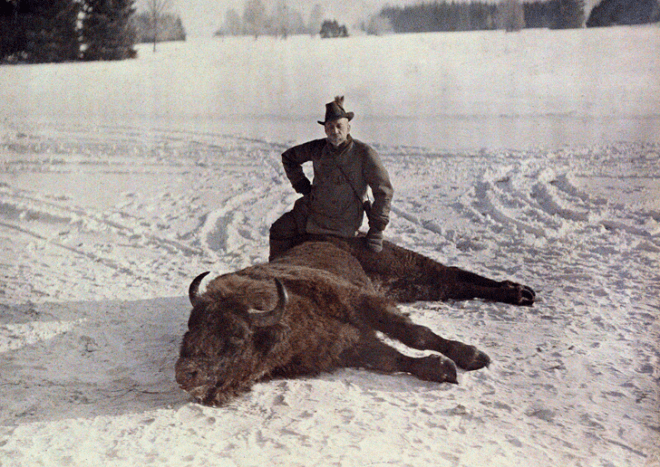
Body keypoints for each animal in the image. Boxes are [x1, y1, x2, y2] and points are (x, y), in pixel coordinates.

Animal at [177, 239, 536, 408]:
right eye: (191, 327)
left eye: (237, 336)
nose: (185, 374)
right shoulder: (344, 347)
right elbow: (391, 359)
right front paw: (442, 369)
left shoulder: (364, 303)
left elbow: (416, 335)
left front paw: (472, 356)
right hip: (410, 284)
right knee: (452, 283)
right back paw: (520, 293)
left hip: (403, 265)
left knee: (453, 274)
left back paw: (521, 293)